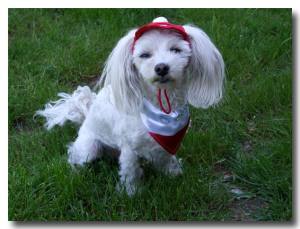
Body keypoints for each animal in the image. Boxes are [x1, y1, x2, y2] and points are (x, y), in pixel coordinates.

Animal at [36, 17, 224, 196]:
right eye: (145, 55)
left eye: (176, 50)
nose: (161, 67)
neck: (163, 108)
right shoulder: (129, 148)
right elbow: (130, 170)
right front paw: (131, 191)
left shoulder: (167, 143)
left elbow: (167, 159)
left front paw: (175, 173)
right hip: (89, 148)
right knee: (75, 156)